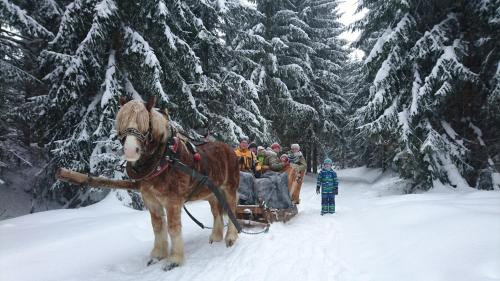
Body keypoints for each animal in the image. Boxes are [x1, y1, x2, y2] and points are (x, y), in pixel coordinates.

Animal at [117, 96, 242, 270]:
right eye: (122, 122)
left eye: (145, 124)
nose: (129, 150)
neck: (165, 158)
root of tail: (229, 148)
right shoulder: (151, 201)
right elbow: (157, 226)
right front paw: (157, 255)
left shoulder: (172, 201)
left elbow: (173, 228)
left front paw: (174, 259)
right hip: (212, 192)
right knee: (216, 213)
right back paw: (216, 236)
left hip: (229, 187)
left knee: (231, 210)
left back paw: (230, 237)